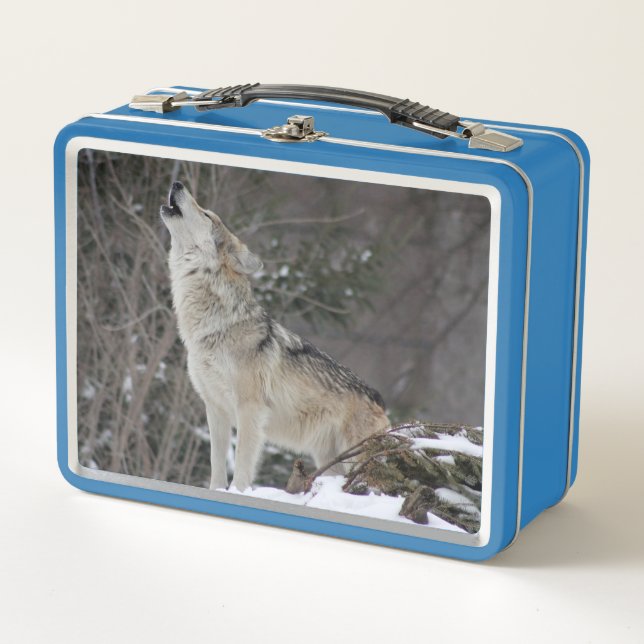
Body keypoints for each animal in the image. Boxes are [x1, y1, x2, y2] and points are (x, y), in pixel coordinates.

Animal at [161, 182, 389, 492]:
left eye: (207, 214)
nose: (178, 183)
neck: (216, 326)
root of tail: (380, 401)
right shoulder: (215, 408)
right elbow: (216, 465)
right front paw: (216, 492)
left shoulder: (250, 409)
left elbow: (242, 466)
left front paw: (238, 493)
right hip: (329, 461)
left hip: (353, 458)